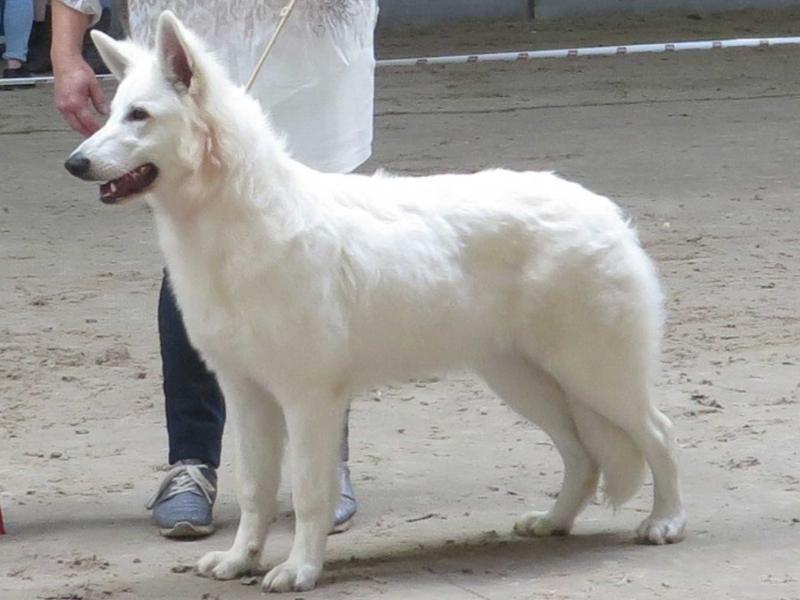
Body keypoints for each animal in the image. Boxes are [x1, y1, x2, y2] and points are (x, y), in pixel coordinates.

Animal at [65, 11, 684, 592]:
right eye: (110, 113)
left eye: (139, 116)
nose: (74, 164)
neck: (236, 220)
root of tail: (604, 210)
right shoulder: (246, 395)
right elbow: (255, 489)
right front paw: (241, 559)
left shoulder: (308, 399)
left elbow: (308, 494)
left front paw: (299, 570)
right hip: (524, 380)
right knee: (582, 455)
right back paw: (553, 522)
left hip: (593, 374)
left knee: (658, 433)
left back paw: (666, 522)